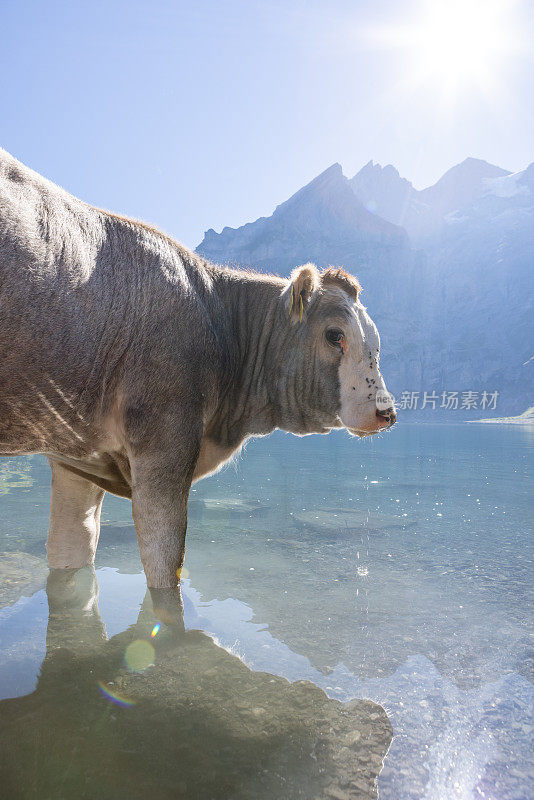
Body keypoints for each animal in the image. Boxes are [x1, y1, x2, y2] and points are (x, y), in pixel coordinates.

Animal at [0, 148, 396, 588]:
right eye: (334, 335)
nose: (387, 412)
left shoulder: (76, 458)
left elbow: (72, 554)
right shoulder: (165, 438)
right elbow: (165, 569)